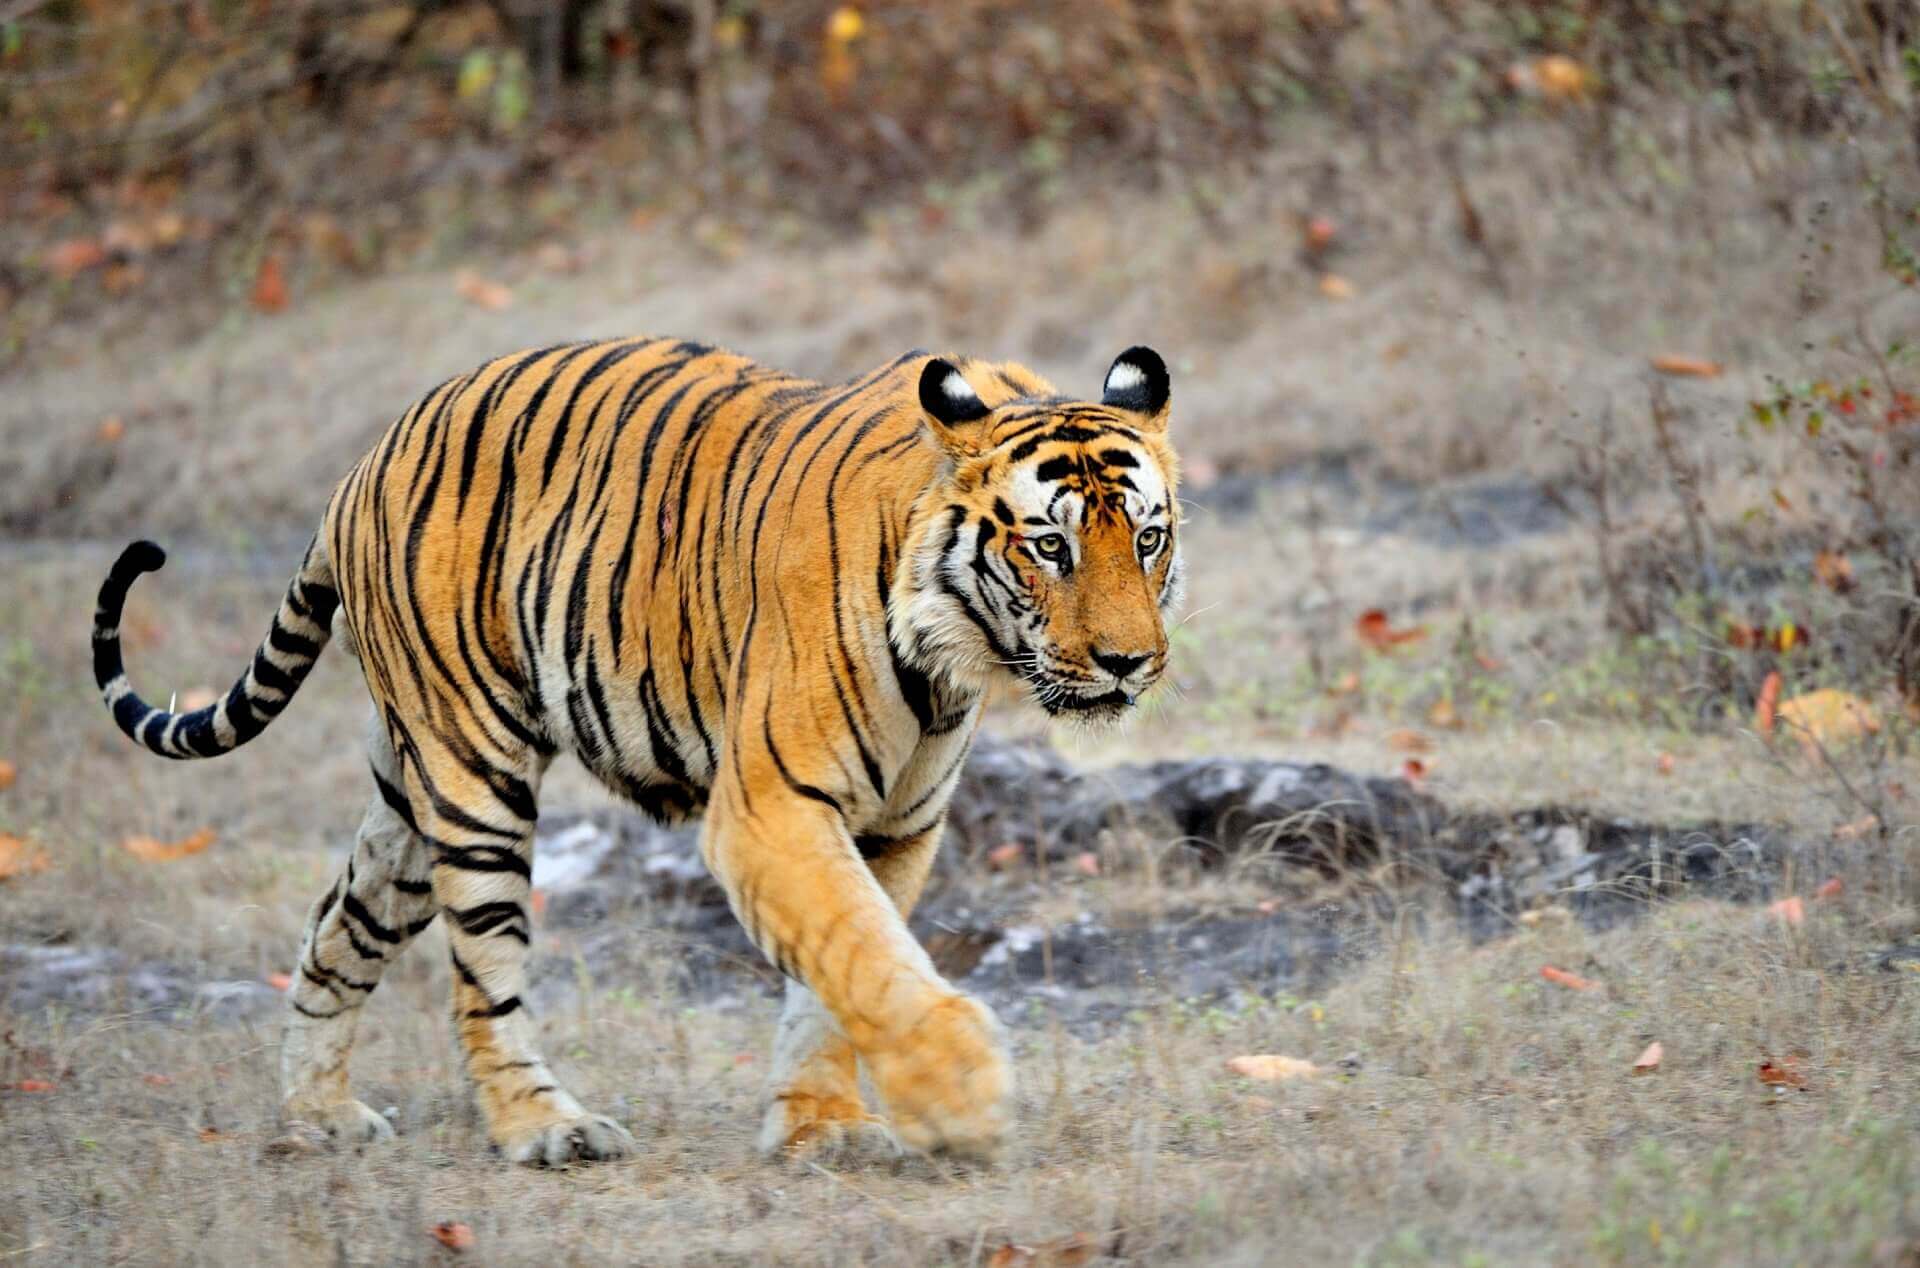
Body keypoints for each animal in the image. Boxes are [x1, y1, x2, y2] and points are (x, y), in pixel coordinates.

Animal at [93, 336, 1182, 1168]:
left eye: (1150, 539)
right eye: (1050, 547)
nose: (1129, 662)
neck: (952, 649)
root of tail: (362, 465)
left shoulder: (895, 828)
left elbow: (837, 977)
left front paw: (821, 1126)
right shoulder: (769, 808)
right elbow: (867, 956)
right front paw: (961, 1094)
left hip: (406, 805)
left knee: (336, 929)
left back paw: (317, 1113)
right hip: (474, 775)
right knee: (482, 979)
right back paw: (544, 1129)